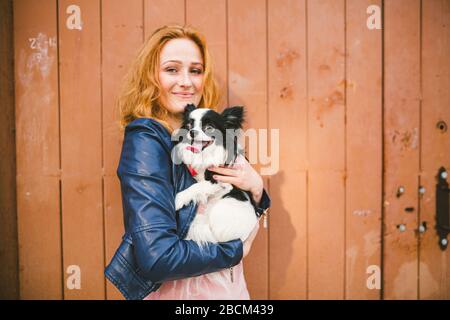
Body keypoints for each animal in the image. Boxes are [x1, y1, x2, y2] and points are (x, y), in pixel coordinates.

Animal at [171, 104, 258, 246]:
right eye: (189, 126)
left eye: (209, 128)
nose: (192, 132)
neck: (204, 155)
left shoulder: (221, 181)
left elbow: (197, 186)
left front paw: (178, 199)